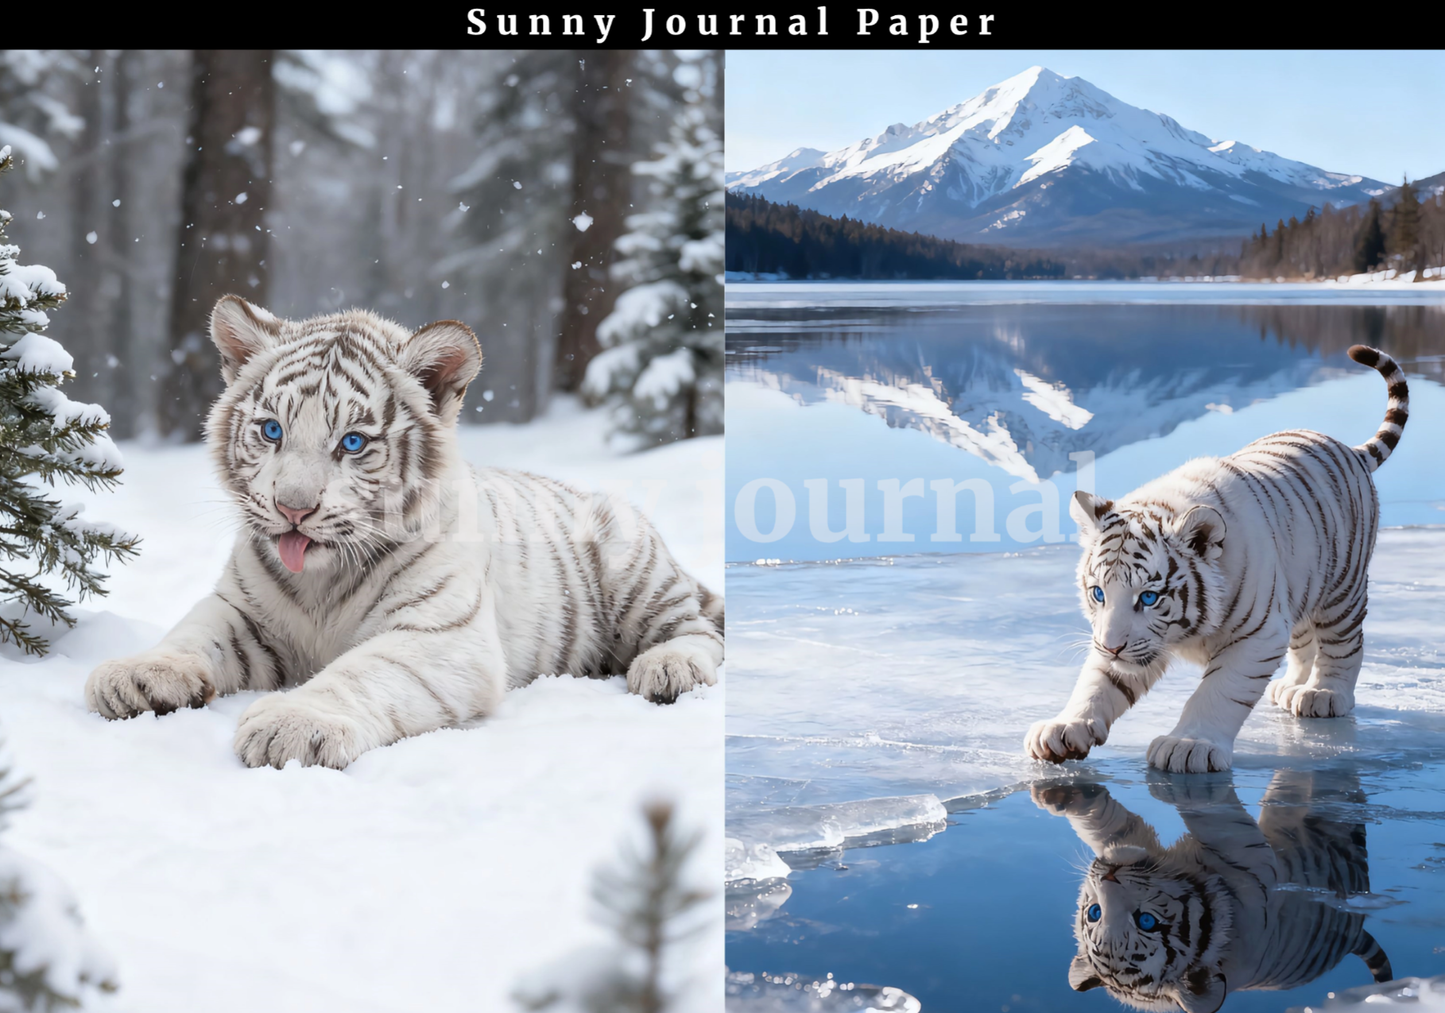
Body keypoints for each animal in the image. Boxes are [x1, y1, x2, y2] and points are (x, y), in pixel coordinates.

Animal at [83, 295, 724, 769]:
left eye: (352, 442)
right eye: (271, 430)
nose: (292, 508)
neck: (320, 582)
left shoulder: (438, 636)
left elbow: (362, 672)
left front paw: (294, 723)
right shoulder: (241, 611)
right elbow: (194, 636)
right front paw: (138, 675)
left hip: (633, 564)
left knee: (697, 630)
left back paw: (668, 669)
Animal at [1025, 345, 1407, 774]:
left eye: (1149, 597)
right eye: (1098, 593)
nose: (1112, 648)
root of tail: (1348, 450)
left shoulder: (1257, 637)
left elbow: (1218, 692)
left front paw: (1189, 745)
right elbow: (1098, 683)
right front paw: (1063, 728)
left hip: (1342, 587)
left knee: (1344, 643)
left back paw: (1323, 694)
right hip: (1298, 585)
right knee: (1304, 638)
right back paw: (1292, 686)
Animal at [1033, 773, 1393, 1013]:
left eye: (1145, 921)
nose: (1110, 874)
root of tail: (1353, 933)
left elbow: (1115, 826)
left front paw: (1064, 794)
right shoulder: (1247, 860)